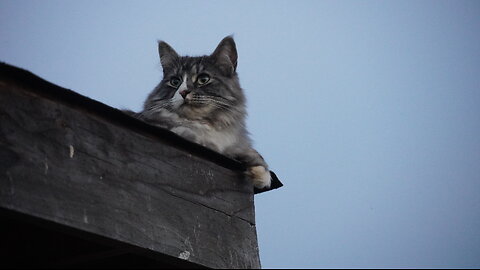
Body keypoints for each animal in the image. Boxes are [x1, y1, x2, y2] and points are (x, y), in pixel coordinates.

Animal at [126, 35, 270, 189]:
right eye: (175, 82)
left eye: (203, 79)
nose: (183, 92)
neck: (206, 123)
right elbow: (189, 135)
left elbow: (251, 152)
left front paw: (261, 172)